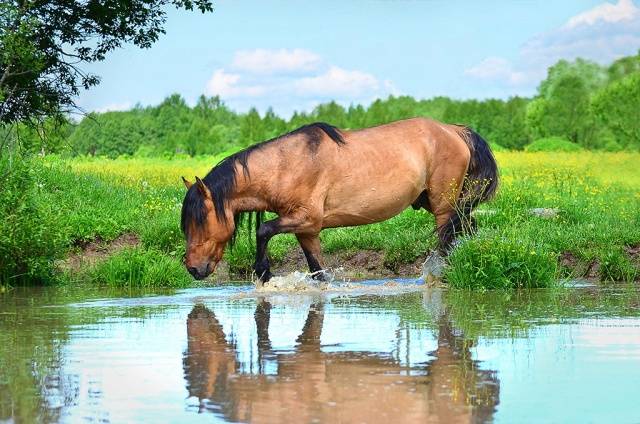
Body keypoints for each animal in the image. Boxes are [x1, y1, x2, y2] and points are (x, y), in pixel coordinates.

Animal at [182, 117, 498, 282]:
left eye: (200, 221)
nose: (193, 268)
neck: (286, 165)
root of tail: (454, 130)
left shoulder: (306, 218)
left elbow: (264, 230)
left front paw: (263, 272)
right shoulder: (307, 231)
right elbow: (318, 271)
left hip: (443, 206)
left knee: (447, 238)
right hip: (436, 202)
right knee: (467, 226)